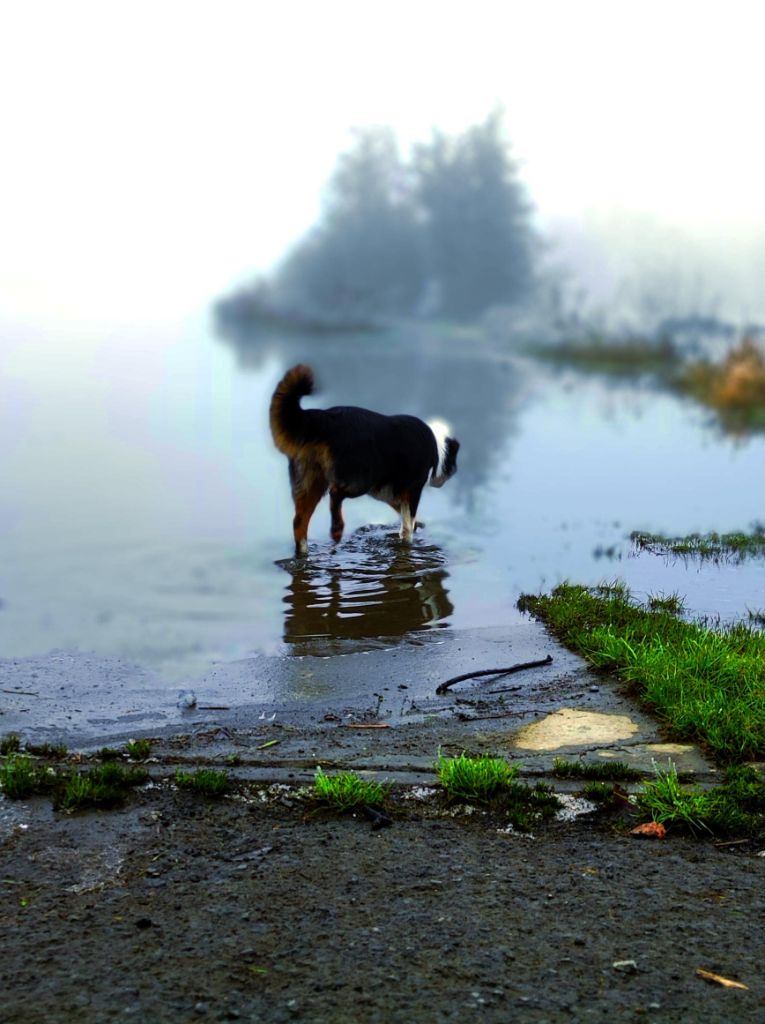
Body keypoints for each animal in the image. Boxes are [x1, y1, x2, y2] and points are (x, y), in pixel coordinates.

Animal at [270, 364, 460, 557]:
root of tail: (325, 418)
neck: (437, 445)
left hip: (310, 483)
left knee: (299, 521)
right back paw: (337, 530)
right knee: (335, 493)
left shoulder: (390, 491)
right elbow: (408, 522)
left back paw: (303, 551)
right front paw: (409, 541)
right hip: (359, 478)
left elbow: (403, 514)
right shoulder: (413, 488)